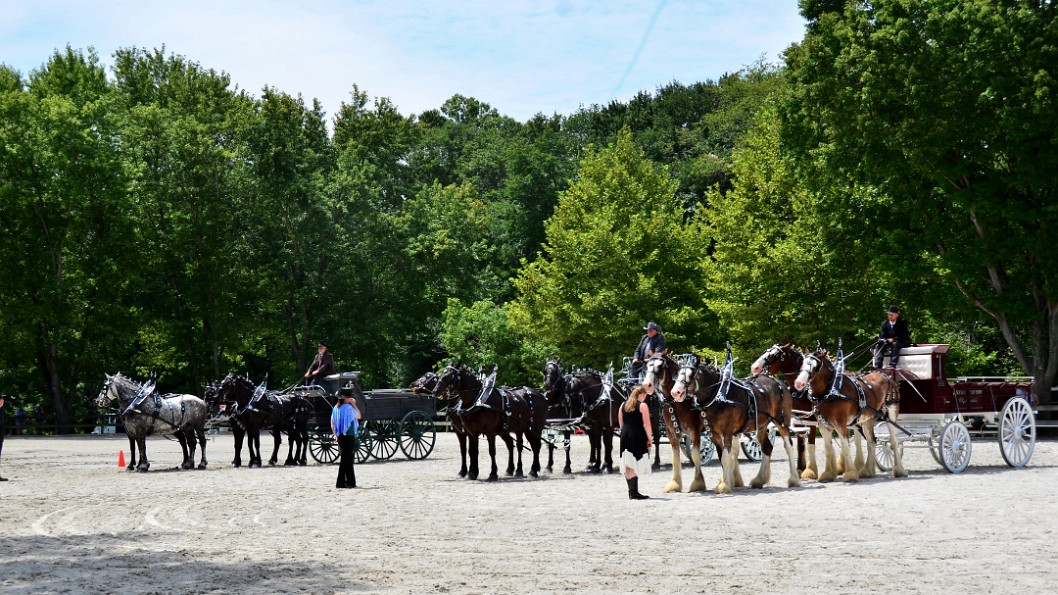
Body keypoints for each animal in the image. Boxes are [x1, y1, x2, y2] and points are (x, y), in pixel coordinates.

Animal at [672, 351, 795, 491]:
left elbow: (726, 458)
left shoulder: (727, 432)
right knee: (767, 447)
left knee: (788, 446)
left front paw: (725, 485)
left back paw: (794, 480)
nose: (675, 392)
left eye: (691, 374)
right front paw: (727, 482)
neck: (720, 395)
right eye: (677, 373)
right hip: (761, 425)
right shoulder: (713, 434)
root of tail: (778, 382)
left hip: (782, 422)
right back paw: (759, 480)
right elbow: (722, 457)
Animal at [795, 345, 909, 478]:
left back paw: (899, 470)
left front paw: (850, 474)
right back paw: (867, 471)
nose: (799, 383)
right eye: (802, 363)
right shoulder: (823, 426)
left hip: (890, 416)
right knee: (872, 442)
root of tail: (887, 377)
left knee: (893, 442)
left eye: (815, 367)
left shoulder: (841, 424)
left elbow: (845, 448)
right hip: (867, 420)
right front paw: (828, 474)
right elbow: (828, 450)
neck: (830, 392)